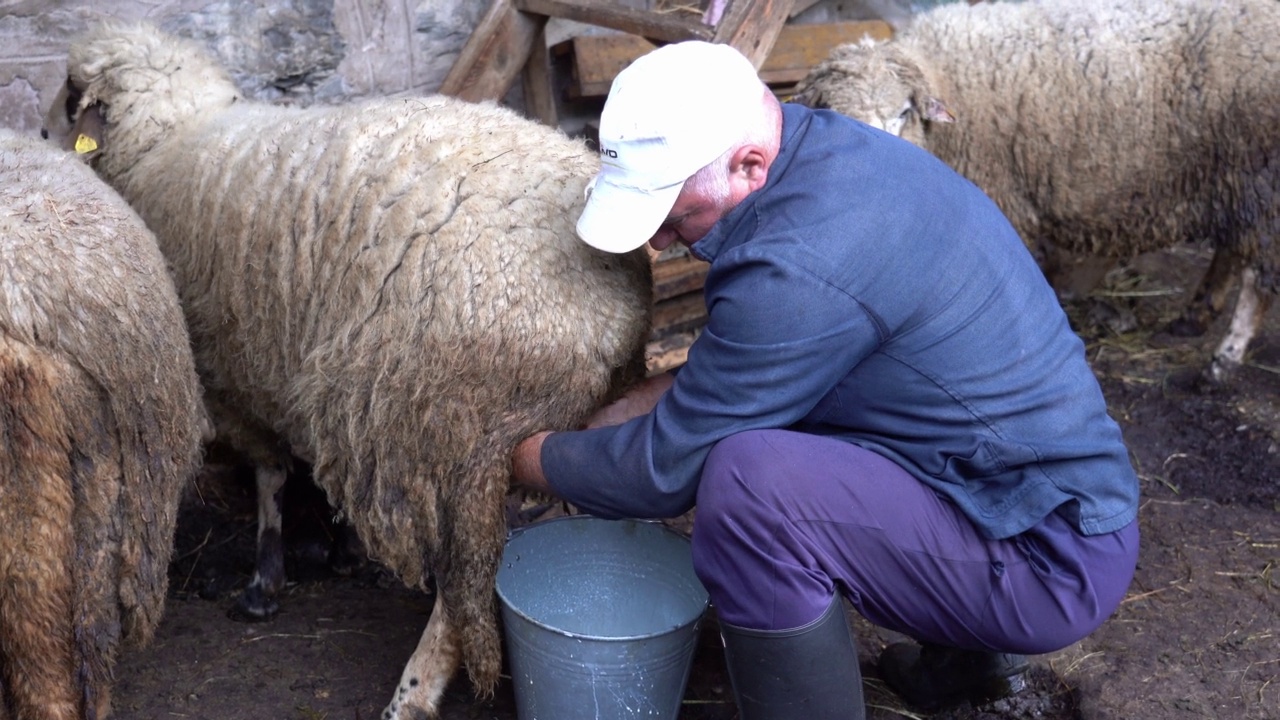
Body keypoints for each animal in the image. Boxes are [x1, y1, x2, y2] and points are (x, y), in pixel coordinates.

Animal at [45, 19, 655, 712]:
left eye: (70, 94)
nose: (40, 134)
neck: (171, 137)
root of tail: (611, 296)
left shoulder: (232, 372)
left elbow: (270, 473)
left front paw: (265, 581)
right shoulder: (288, 364)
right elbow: (308, 464)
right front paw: (336, 550)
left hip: (446, 426)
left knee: (464, 585)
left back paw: (411, 693)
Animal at [793, 0, 1274, 381]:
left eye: (904, 112)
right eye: (833, 113)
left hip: (1263, 171)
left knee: (1256, 274)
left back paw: (1224, 359)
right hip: (1233, 174)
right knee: (1232, 249)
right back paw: (1195, 317)